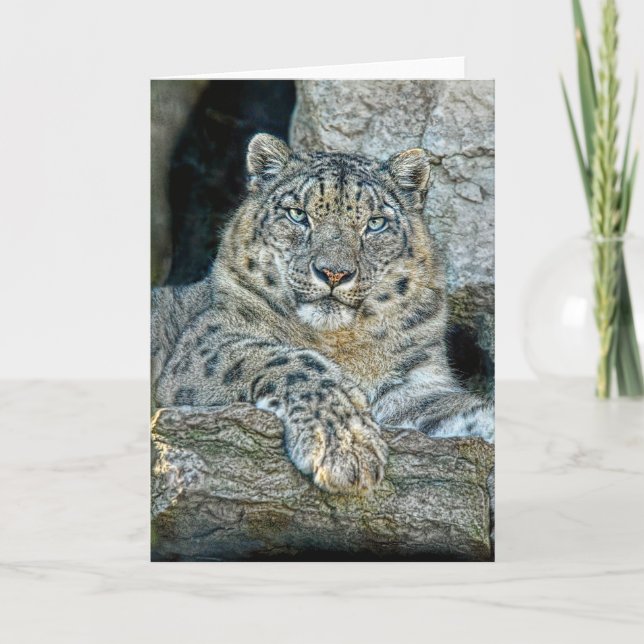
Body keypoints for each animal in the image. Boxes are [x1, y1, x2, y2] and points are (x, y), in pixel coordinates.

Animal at [152, 133, 494, 494]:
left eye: (375, 223)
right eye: (298, 215)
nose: (333, 272)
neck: (341, 342)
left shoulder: (414, 388)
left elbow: (468, 412)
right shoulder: (210, 342)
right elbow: (291, 361)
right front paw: (345, 446)